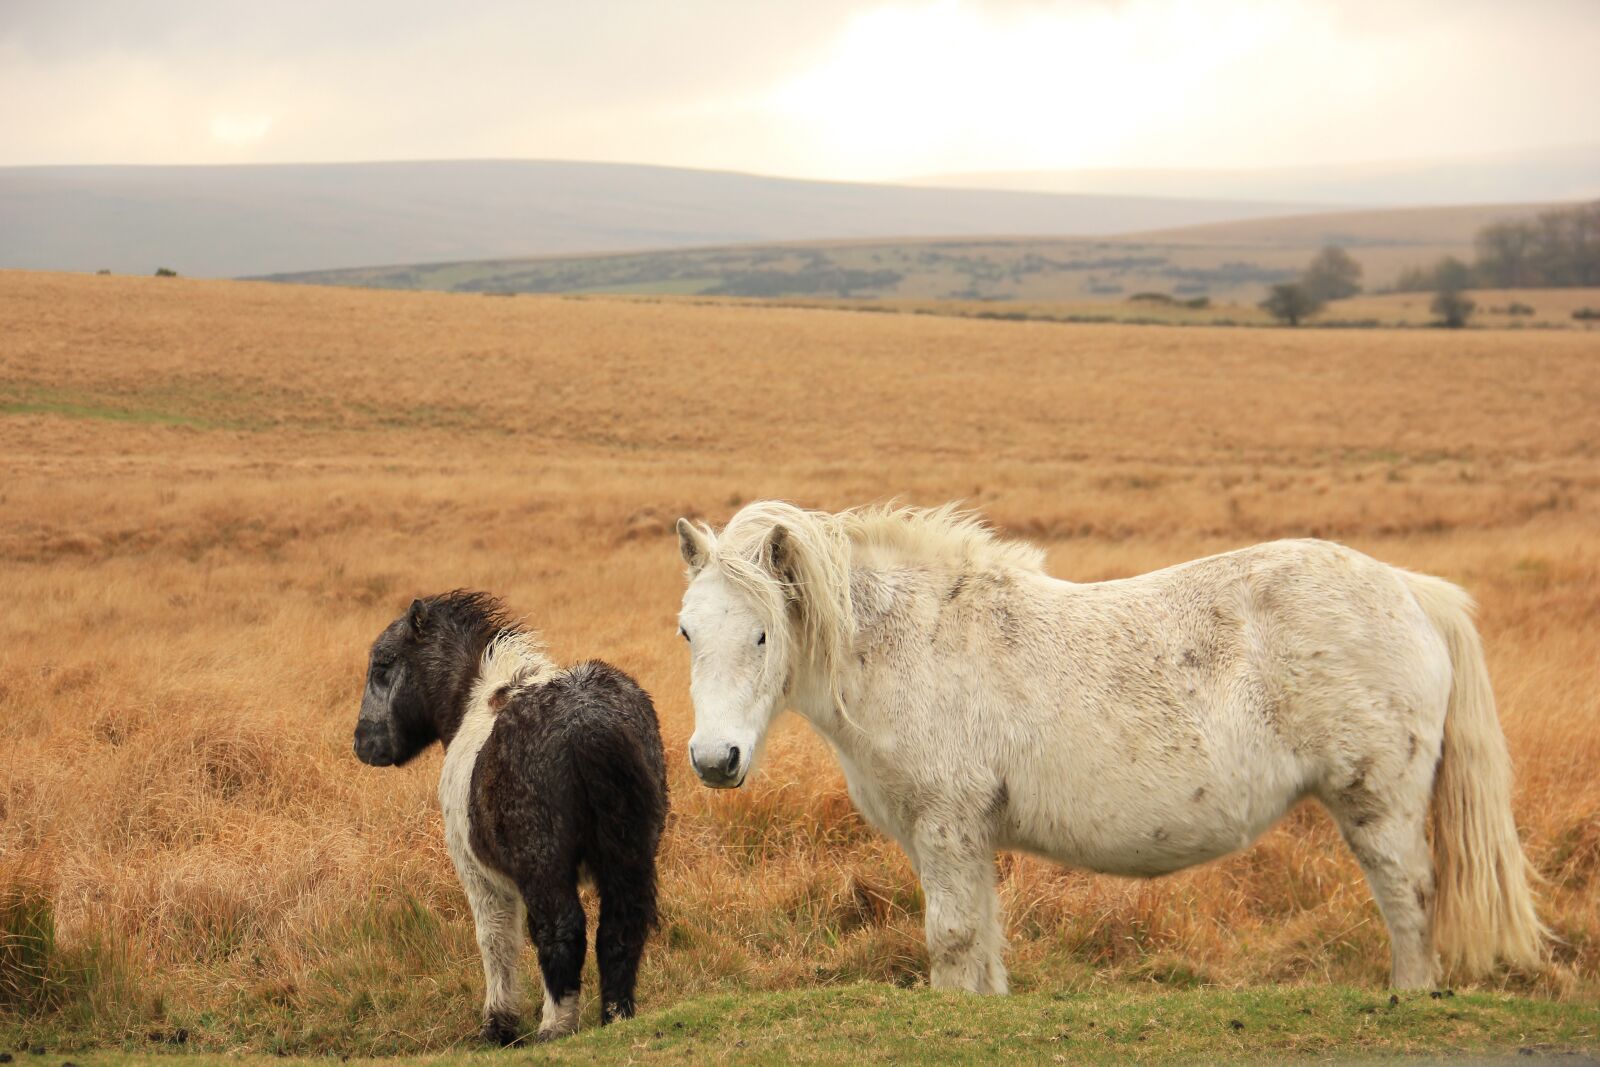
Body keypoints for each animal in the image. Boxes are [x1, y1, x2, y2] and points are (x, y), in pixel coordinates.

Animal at [352, 591, 667, 1042]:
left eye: (382, 665)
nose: (363, 744)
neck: (477, 701)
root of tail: (589, 724)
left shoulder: (480, 875)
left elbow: (495, 938)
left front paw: (498, 1024)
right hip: (630, 856)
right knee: (621, 927)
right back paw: (616, 1016)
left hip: (544, 866)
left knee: (560, 929)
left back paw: (554, 1025)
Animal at [673, 501, 1546, 993]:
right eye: (687, 630)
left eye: (763, 632)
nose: (715, 760)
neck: (913, 640)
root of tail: (1410, 590)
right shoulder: (960, 837)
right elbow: (981, 939)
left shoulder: (947, 827)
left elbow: (951, 939)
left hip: (1378, 803)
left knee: (1411, 898)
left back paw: (1411, 993)